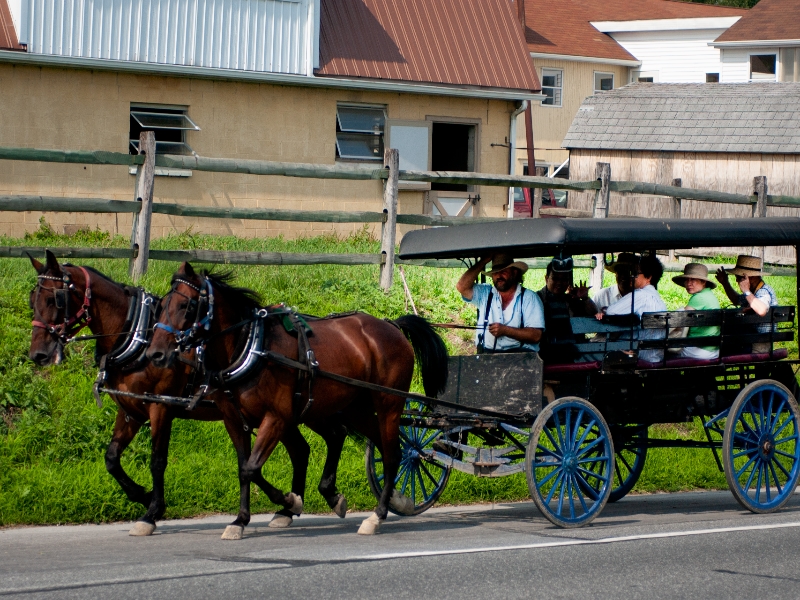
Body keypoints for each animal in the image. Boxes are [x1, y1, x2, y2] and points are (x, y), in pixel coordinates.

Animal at [27, 252, 346, 536]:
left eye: (55, 299)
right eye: (32, 300)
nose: (38, 354)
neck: (138, 338)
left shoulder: (160, 408)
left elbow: (157, 460)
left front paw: (152, 511)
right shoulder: (130, 411)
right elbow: (112, 459)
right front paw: (143, 496)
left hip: (308, 408)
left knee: (334, 435)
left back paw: (318, 497)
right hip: (286, 415)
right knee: (302, 450)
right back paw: (288, 509)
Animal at [147, 264, 446, 540]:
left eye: (187, 304)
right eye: (161, 305)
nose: (155, 353)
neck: (251, 346)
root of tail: (391, 325)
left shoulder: (275, 418)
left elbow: (252, 469)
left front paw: (288, 501)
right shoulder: (234, 420)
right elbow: (244, 469)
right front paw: (242, 519)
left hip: (388, 405)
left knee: (393, 453)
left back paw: (377, 515)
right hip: (353, 408)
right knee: (371, 445)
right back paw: (381, 498)